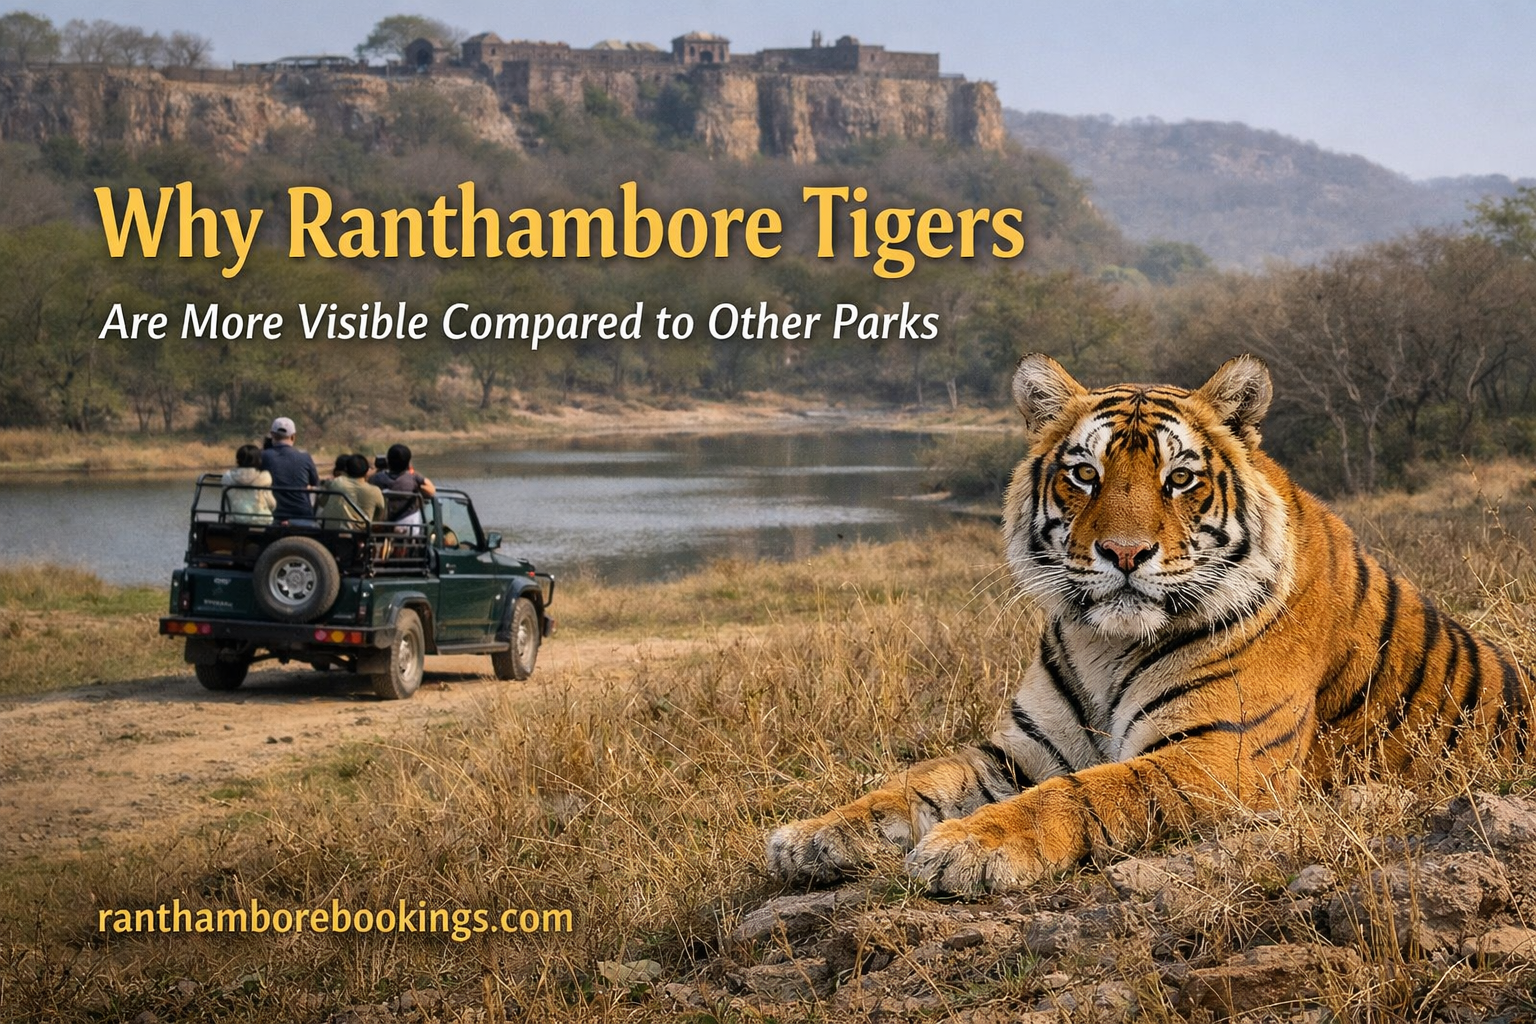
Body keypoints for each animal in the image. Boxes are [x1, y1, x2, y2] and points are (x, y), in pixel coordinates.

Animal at [767, 353, 1532, 893]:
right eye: (1084, 474)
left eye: (1180, 479)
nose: (1126, 552)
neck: (1103, 644)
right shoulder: (1023, 748)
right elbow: (917, 781)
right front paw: (812, 836)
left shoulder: (1216, 756)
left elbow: (1085, 792)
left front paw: (968, 846)